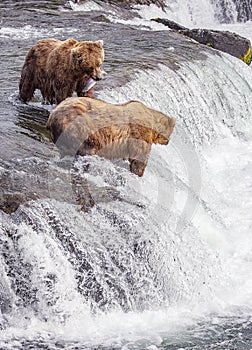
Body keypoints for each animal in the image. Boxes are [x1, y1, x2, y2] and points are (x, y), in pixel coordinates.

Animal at [45, 97, 175, 176]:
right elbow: (139, 156)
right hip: (80, 123)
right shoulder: (139, 132)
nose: (168, 141)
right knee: (87, 146)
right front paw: (137, 172)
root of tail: (51, 118)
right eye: (171, 132)